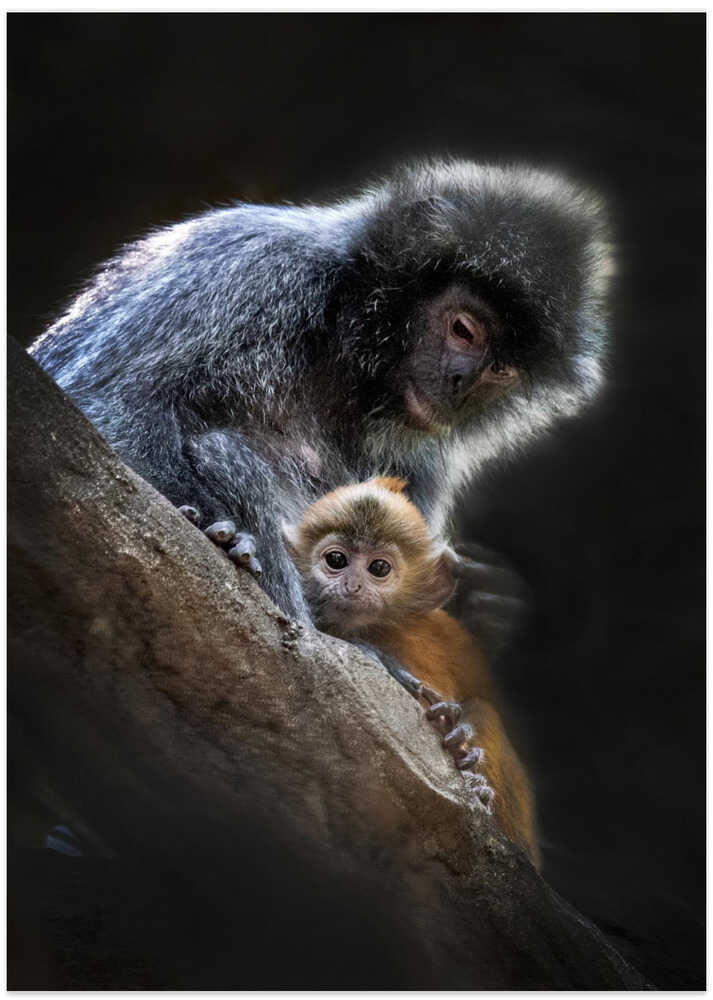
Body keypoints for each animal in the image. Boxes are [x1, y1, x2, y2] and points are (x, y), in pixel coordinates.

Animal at [30, 159, 610, 653]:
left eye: (500, 370)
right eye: (464, 329)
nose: (459, 384)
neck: (342, 350)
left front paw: (483, 609)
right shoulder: (254, 267)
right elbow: (108, 401)